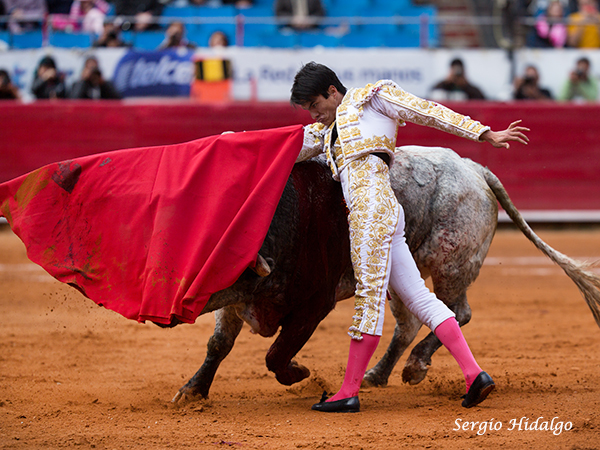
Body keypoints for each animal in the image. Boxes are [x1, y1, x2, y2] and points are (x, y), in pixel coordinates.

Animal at [168, 145, 600, 404]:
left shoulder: (313, 305)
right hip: (403, 273)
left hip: (452, 265)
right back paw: (377, 374)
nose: (168, 311)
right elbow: (219, 344)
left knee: (456, 312)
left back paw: (416, 367)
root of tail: (472, 167)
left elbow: (276, 354)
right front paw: (192, 391)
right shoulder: (241, 300)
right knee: (410, 324)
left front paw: (302, 375)